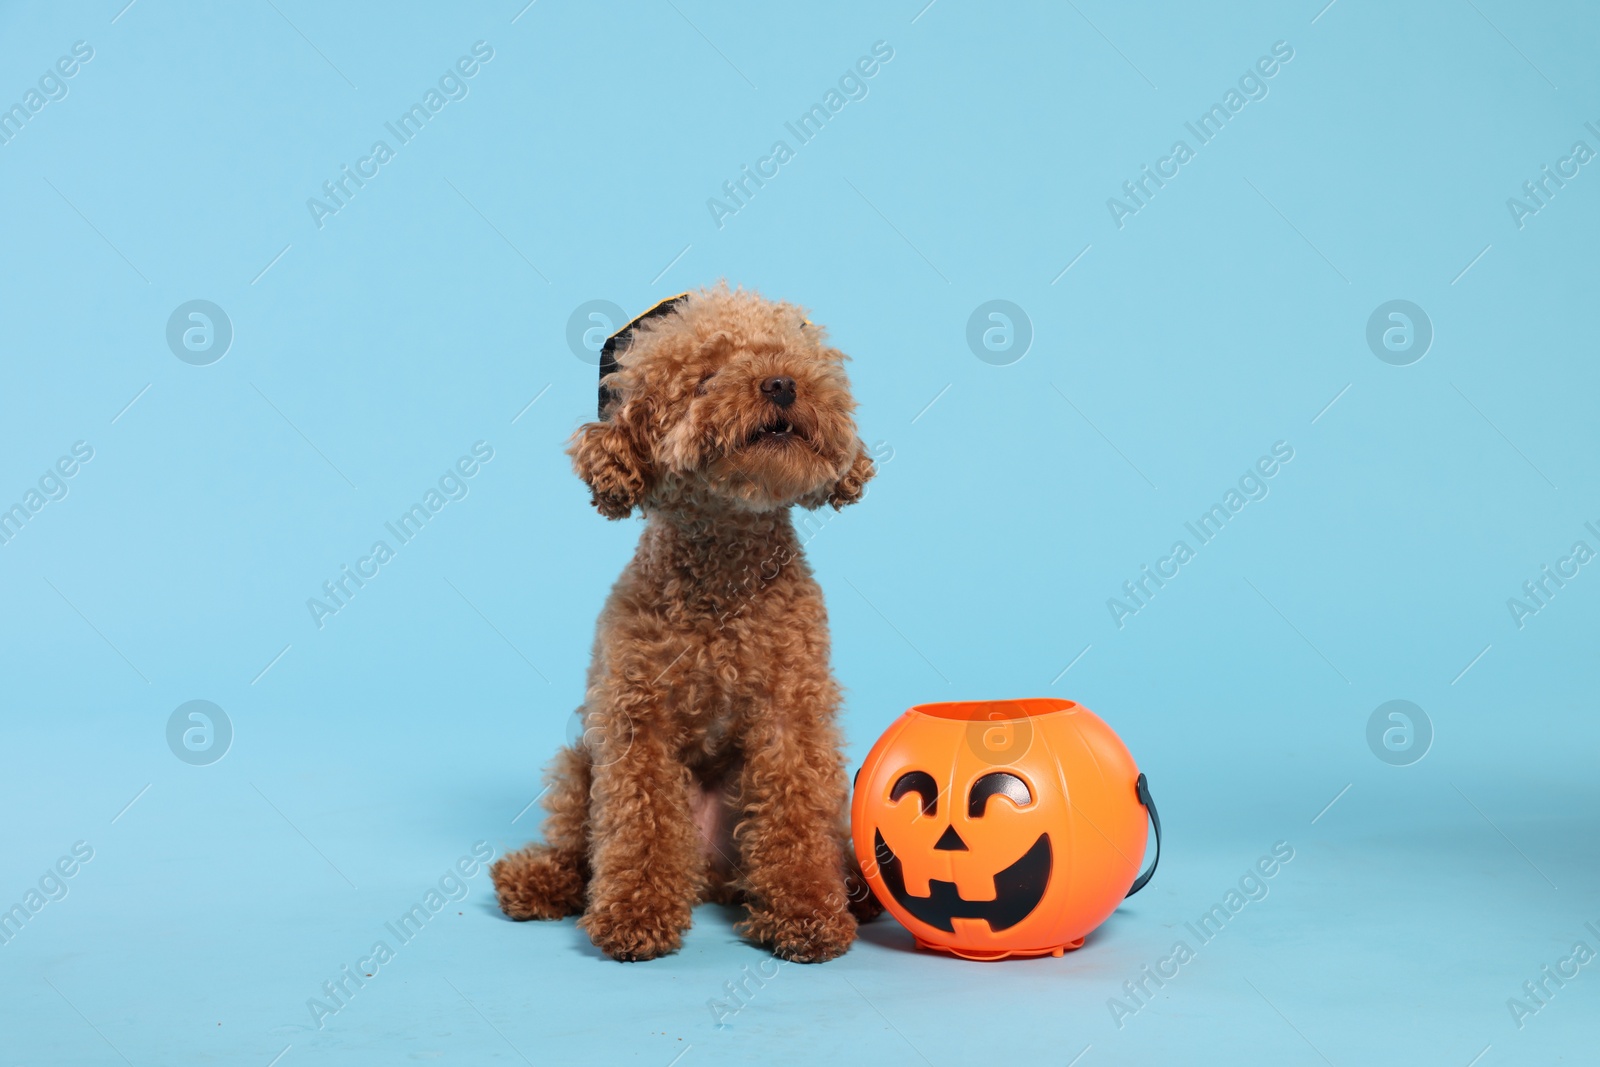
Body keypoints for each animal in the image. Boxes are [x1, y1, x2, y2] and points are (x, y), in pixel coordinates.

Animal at [492, 287, 883, 966]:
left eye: (791, 359)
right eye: (704, 380)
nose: (781, 384)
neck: (725, 576)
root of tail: (707, 875)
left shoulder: (793, 715)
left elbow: (795, 817)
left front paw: (807, 913)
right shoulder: (633, 720)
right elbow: (639, 823)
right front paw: (635, 914)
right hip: (578, 763)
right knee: (581, 848)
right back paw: (542, 882)